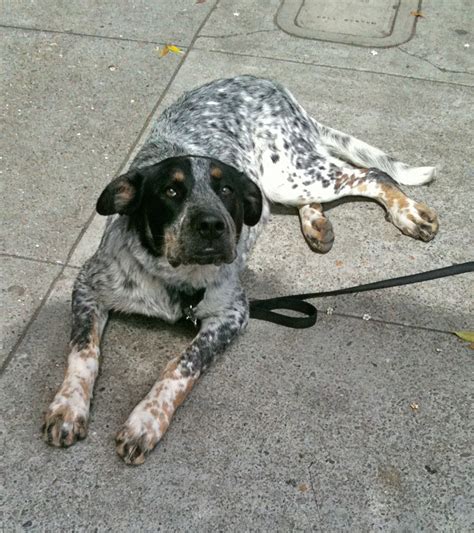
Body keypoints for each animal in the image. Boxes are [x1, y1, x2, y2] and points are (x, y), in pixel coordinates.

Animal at [42, 74, 438, 462]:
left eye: (227, 190)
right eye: (170, 192)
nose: (212, 226)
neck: (173, 276)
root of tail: (267, 81)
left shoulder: (232, 313)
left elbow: (181, 365)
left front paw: (146, 421)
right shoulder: (88, 286)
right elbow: (83, 351)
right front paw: (68, 407)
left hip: (291, 174)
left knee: (370, 173)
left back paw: (408, 213)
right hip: (287, 183)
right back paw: (316, 223)